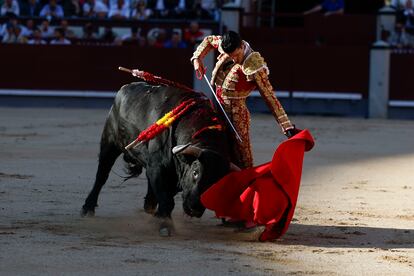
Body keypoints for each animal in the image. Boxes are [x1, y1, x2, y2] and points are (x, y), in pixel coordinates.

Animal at [81, 82, 230, 233]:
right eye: (195, 172)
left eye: (219, 183)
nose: (196, 208)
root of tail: (124, 88)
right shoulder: (158, 167)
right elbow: (166, 199)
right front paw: (164, 225)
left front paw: (157, 216)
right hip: (109, 143)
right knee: (101, 175)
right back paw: (88, 208)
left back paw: (149, 205)